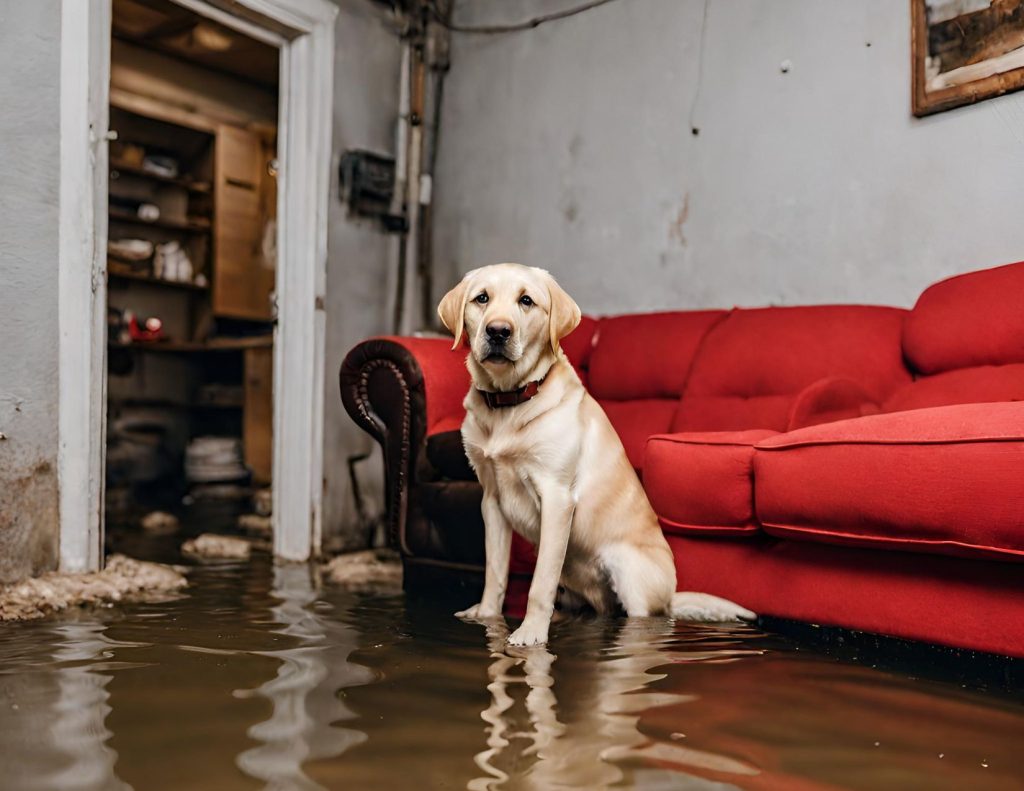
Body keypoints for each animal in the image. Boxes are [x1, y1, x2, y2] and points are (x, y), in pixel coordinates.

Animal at [440, 262, 753, 647]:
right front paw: (487, 616)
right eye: (482, 298)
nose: (498, 331)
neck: (510, 401)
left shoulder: (557, 498)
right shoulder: (493, 502)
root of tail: (670, 596)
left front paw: (531, 633)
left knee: (643, 618)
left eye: (526, 301)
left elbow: (539, 583)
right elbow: (495, 573)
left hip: (629, 571)